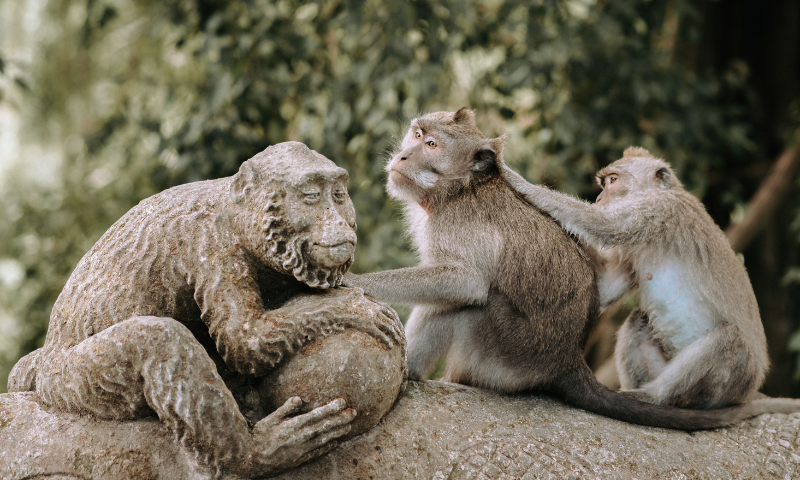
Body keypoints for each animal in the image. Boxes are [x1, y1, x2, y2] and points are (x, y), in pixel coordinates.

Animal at [504, 146, 792, 408]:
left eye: (613, 180)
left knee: (729, 338)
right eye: (604, 182)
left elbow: (604, 226)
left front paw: (515, 178)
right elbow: (607, 286)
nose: (599, 199)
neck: (663, 192)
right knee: (637, 319)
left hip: (734, 381)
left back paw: (651, 397)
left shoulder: (658, 210)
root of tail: (749, 393)